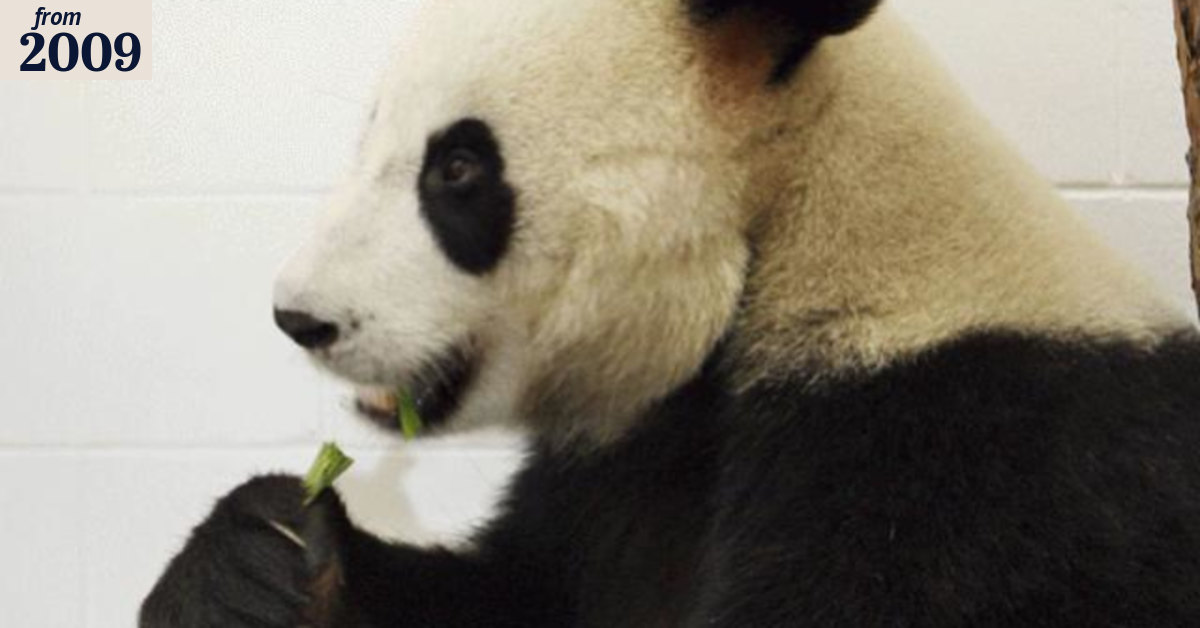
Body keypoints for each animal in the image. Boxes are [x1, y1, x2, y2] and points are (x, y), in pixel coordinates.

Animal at [141, 0, 1200, 626]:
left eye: (459, 168)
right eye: (371, 140)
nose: (299, 319)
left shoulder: (957, 461)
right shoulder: (619, 467)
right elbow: (518, 591)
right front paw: (258, 557)